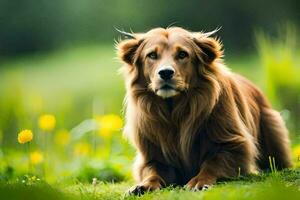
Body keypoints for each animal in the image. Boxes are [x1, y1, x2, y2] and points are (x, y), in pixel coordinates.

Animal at [116, 27, 292, 195]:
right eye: (152, 55)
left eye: (182, 54)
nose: (165, 73)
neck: (174, 110)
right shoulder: (152, 155)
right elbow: (152, 171)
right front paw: (143, 185)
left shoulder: (234, 144)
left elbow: (212, 163)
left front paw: (199, 181)